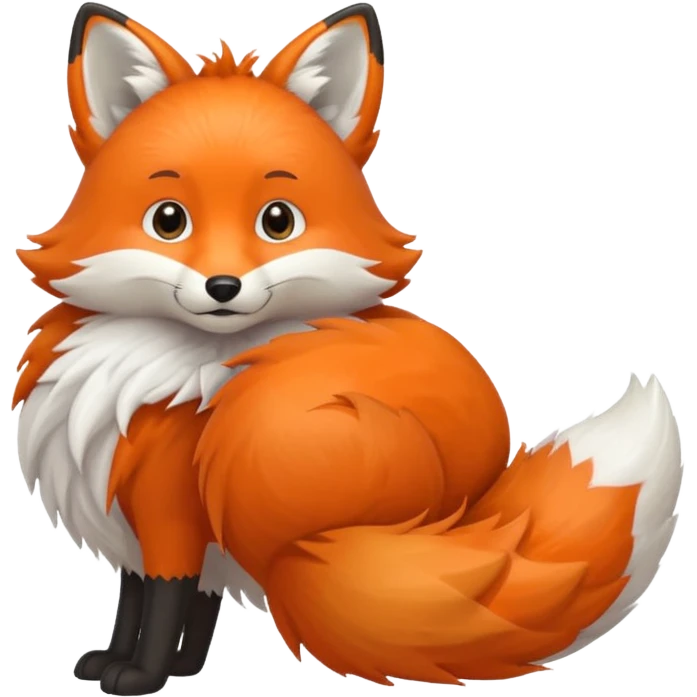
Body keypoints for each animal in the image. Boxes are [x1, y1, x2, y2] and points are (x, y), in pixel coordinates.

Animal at [12, 1, 684, 695]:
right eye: (168, 220)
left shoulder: (171, 521)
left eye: (278, 221)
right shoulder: (134, 529)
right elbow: (147, 604)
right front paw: (148, 664)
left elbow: (166, 602)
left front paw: (143, 676)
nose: (223, 287)